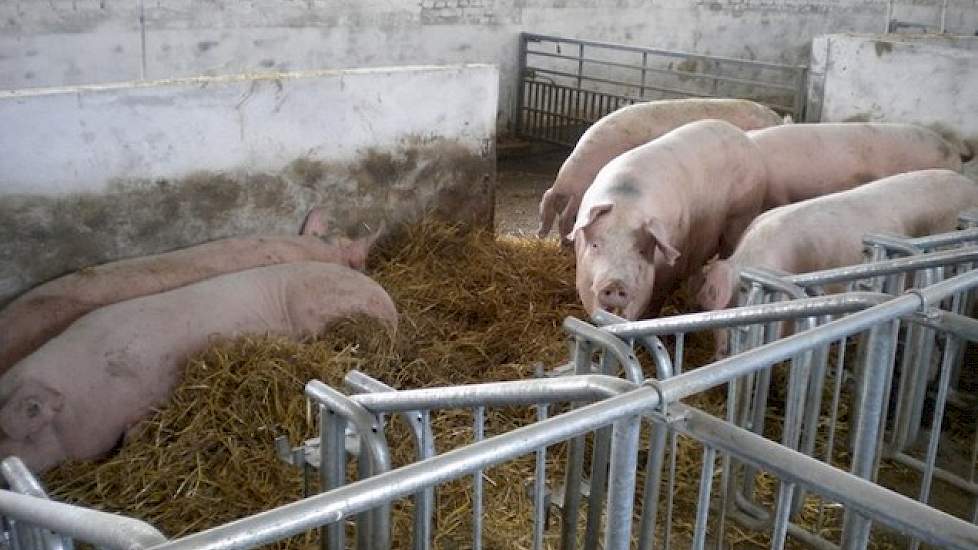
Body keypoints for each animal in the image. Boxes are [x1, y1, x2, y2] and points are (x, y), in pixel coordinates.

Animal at [568, 118, 768, 322]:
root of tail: (744, 138)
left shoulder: (669, 272)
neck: (626, 206)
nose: (615, 284)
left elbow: (655, 302)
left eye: (641, 251)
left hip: (742, 215)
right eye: (595, 245)